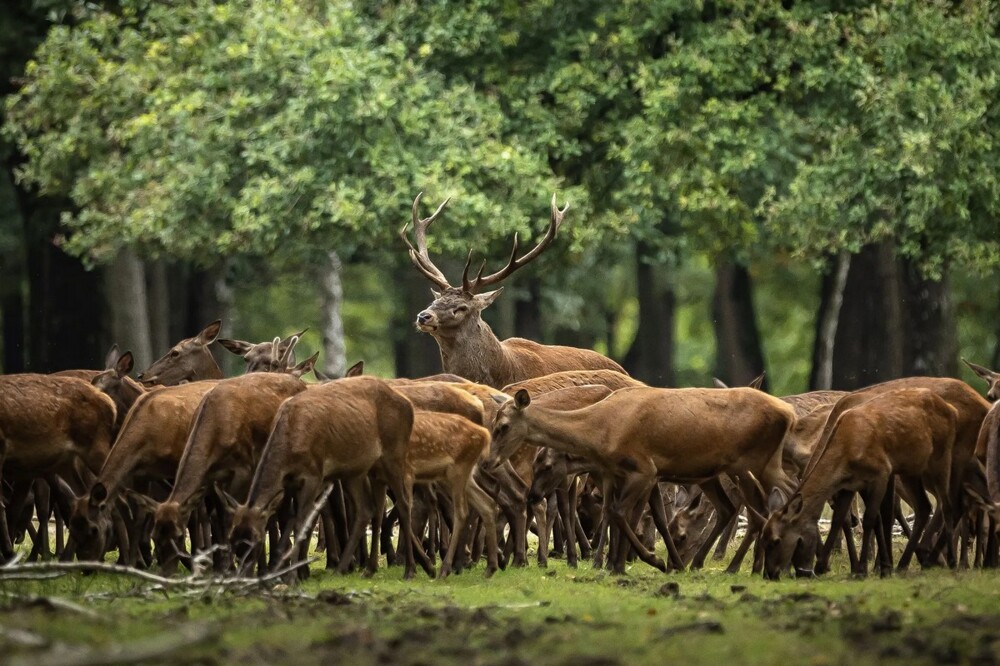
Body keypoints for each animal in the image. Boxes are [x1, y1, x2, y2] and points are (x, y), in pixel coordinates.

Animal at [486, 384, 796, 572]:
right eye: (536, 463)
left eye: (503, 426)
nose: (488, 461)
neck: (602, 431)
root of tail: (788, 413)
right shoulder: (621, 473)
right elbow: (621, 512)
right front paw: (619, 564)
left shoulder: (645, 470)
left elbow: (622, 512)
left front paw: (651, 560)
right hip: (744, 467)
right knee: (750, 504)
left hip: (751, 462)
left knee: (765, 507)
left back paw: (744, 567)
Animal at [760, 386, 956, 580]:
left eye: (777, 541)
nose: (770, 574)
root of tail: (950, 408)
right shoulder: (849, 484)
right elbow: (844, 518)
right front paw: (834, 565)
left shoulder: (879, 475)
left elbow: (874, 517)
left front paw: (867, 567)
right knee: (925, 506)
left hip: (933, 464)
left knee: (941, 502)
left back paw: (939, 559)